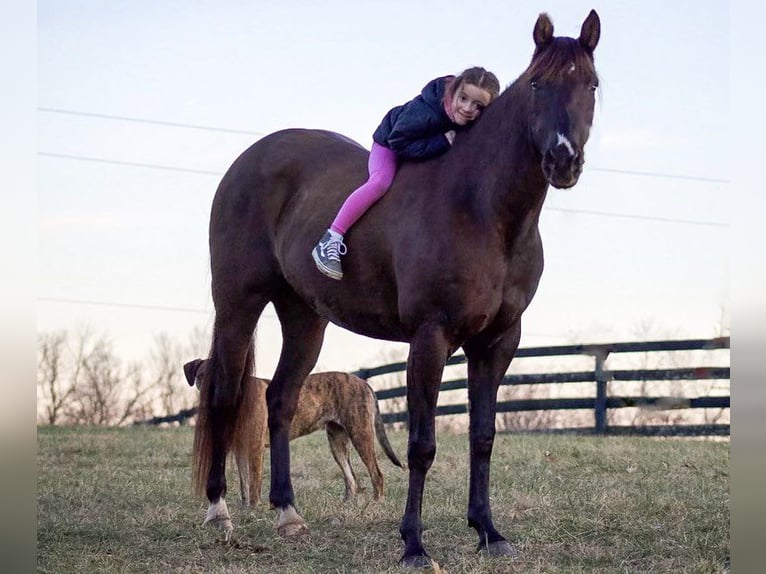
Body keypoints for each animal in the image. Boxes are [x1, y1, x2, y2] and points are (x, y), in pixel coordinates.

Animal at [184, 360, 404, 508]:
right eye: (200, 377)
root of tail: (364, 383)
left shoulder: (255, 449)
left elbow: (254, 484)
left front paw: (253, 510)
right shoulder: (241, 450)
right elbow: (244, 483)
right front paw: (245, 509)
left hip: (361, 434)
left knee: (377, 474)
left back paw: (376, 504)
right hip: (337, 442)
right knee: (351, 478)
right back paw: (345, 506)